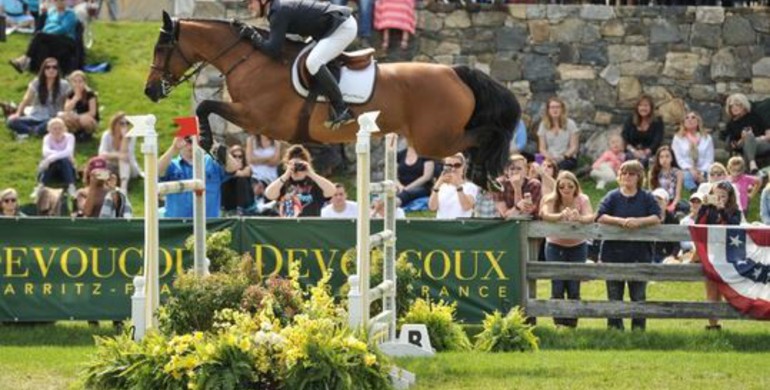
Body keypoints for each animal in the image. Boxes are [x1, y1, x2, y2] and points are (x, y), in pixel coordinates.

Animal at [145, 11, 520, 189]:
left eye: (161, 48)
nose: (150, 91)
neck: (249, 59)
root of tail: (455, 72)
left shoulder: (256, 117)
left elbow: (205, 106)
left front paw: (217, 150)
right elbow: (205, 107)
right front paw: (216, 148)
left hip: (435, 139)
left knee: (487, 135)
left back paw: (486, 172)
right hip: (438, 137)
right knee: (477, 140)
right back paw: (482, 174)